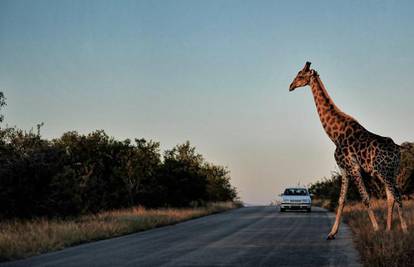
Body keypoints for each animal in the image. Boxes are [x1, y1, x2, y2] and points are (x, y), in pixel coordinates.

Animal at [290, 61, 410, 240]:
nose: (290, 86)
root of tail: (398, 150)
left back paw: (405, 230)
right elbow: (341, 200)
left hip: (385, 172)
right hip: (391, 171)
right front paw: (332, 233)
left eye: (300, 74)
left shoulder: (353, 167)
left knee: (397, 195)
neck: (335, 135)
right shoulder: (344, 169)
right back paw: (389, 231)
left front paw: (376, 229)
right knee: (391, 197)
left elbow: (365, 198)